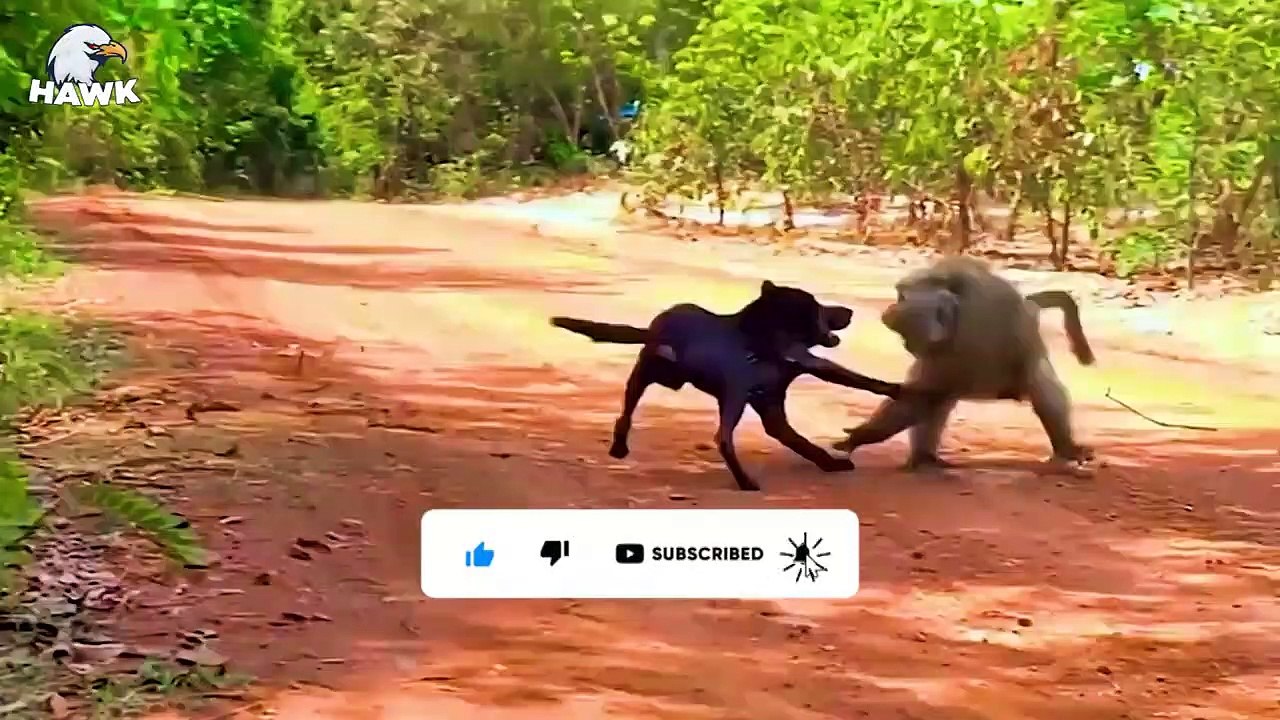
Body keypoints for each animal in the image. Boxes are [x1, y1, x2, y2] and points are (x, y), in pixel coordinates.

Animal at [832, 256, 1096, 471]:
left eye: (901, 297)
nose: (889, 309)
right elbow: (927, 397)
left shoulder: (965, 338)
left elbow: (923, 398)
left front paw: (859, 436)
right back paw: (925, 457)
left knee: (1038, 382)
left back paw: (1065, 447)